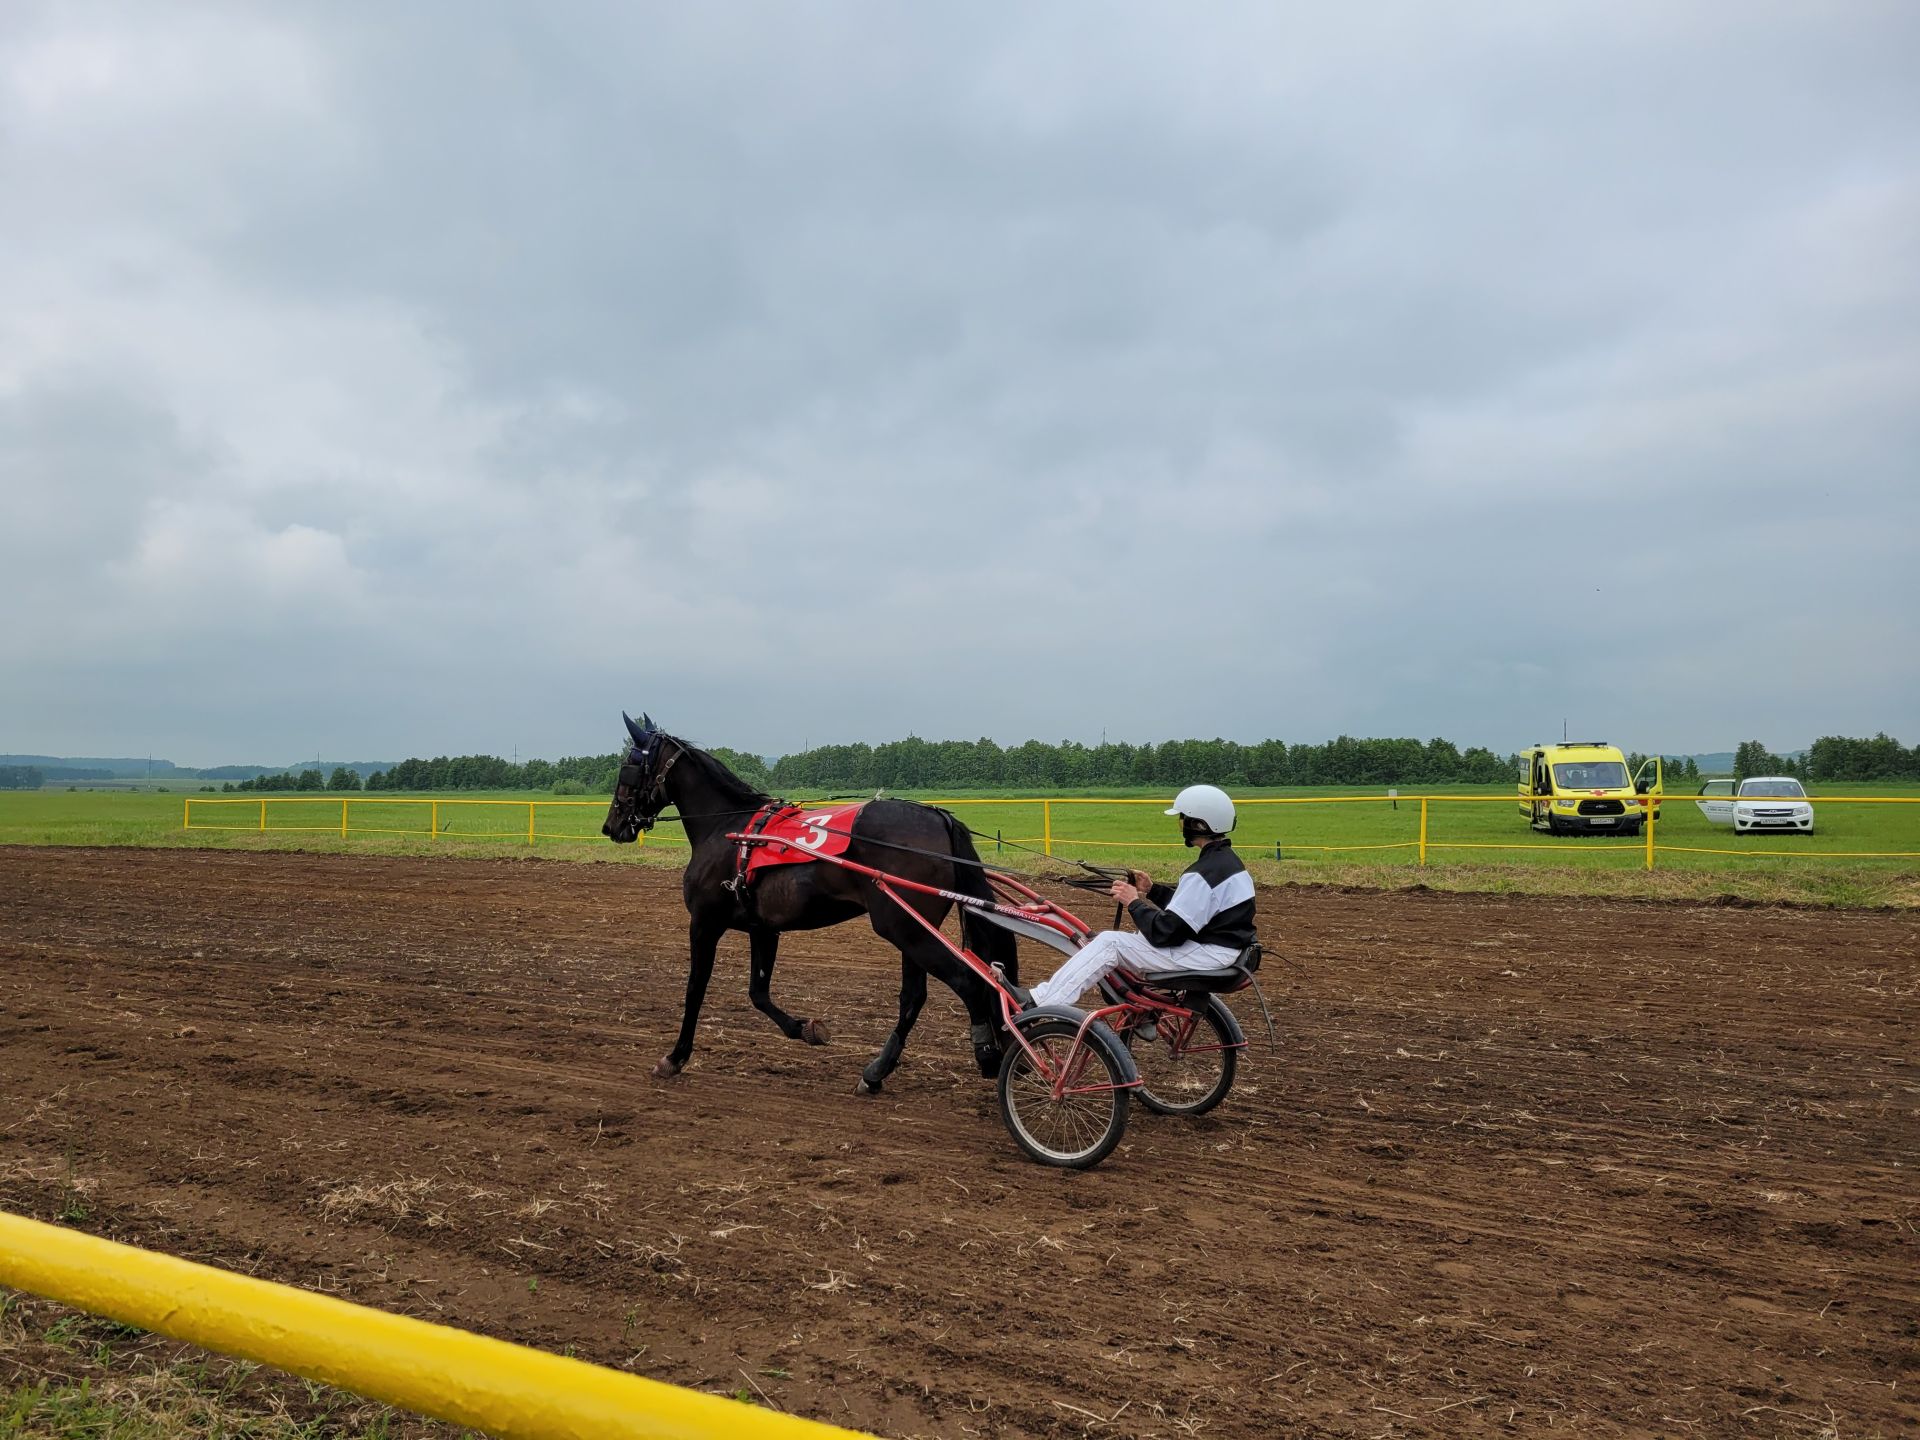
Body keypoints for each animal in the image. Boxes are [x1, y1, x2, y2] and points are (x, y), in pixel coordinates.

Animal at [599, 710, 1021, 1090]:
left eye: (627, 767)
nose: (611, 826)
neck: (729, 830)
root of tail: (938, 817)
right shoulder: (763, 928)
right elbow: (758, 993)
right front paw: (806, 1029)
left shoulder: (705, 922)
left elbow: (695, 987)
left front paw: (675, 1057)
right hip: (912, 928)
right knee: (914, 997)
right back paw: (876, 1073)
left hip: (904, 928)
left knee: (967, 981)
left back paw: (986, 1055)